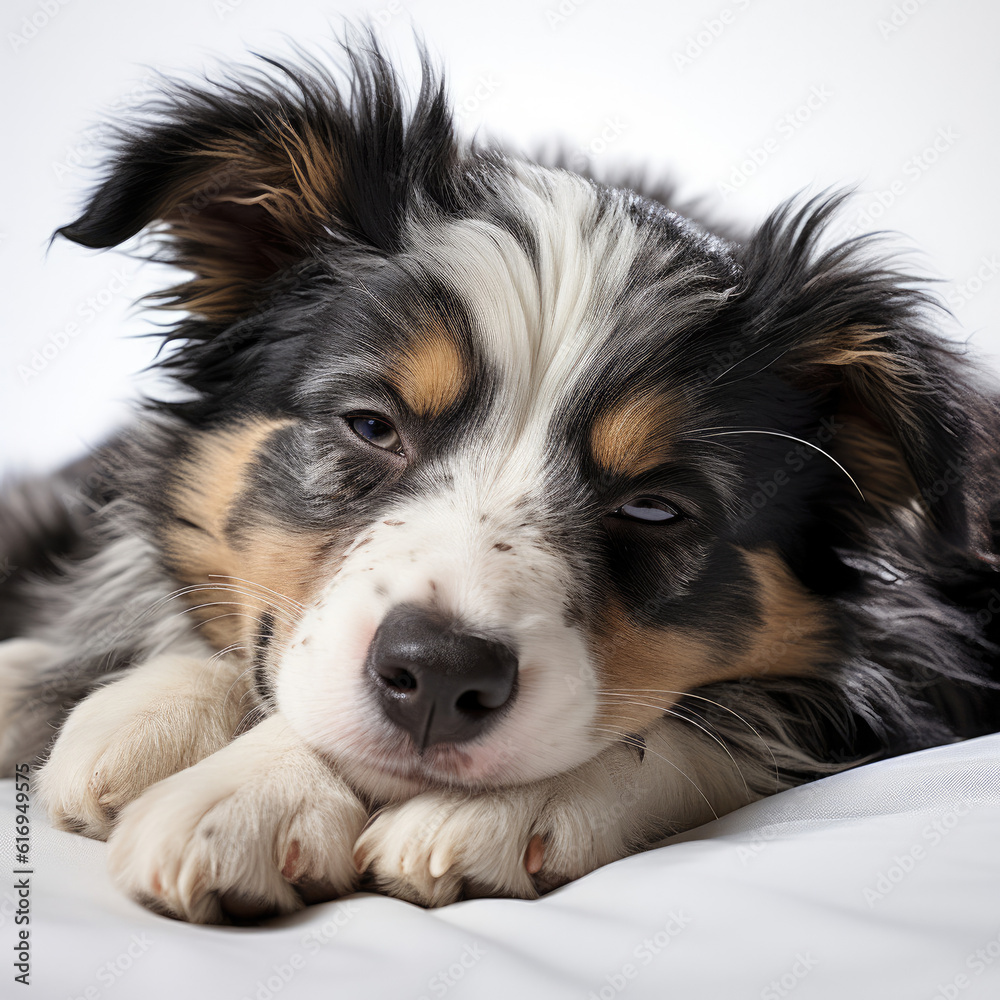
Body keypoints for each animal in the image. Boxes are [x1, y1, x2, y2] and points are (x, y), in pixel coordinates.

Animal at [1, 39, 1000, 924]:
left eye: (655, 506)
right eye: (372, 425)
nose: (440, 677)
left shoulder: (925, 658)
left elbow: (724, 716)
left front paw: (255, 795)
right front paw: (171, 726)